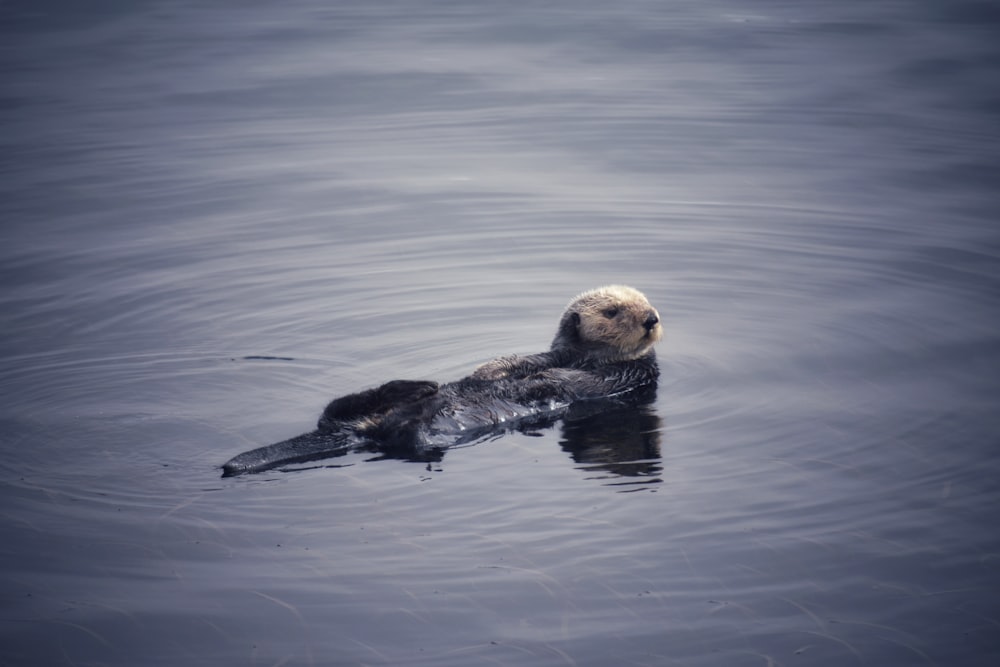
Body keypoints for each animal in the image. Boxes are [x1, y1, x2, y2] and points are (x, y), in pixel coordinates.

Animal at [226, 284, 664, 478]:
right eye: (613, 310)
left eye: (645, 304)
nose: (651, 318)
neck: (585, 357)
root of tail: (359, 431)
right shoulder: (550, 353)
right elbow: (518, 361)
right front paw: (489, 373)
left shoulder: (630, 376)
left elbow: (576, 380)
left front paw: (543, 381)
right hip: (358, 415)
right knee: (340, 408)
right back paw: (417, 387)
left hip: (411, 434)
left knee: (405, 435)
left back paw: (422, 401)